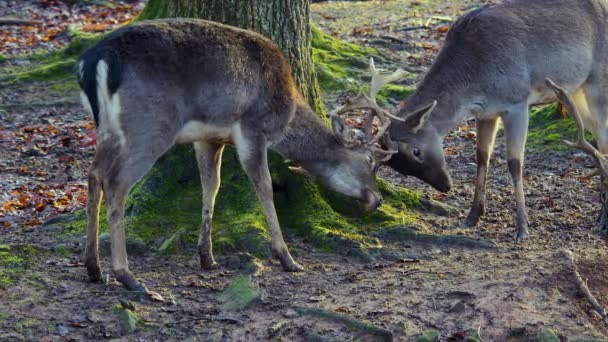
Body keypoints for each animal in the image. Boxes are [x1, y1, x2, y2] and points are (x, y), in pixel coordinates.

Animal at [376, 0, 608, 240]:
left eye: (416, 151)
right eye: (402, 169)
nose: (446, 186)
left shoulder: (517, 101)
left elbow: (515, 163)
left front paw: (522, 227)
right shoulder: (486, 113)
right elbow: (481, 156)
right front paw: (473, 215)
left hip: (599, 78)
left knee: (603, 141)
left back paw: (603, 219)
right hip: (575, 91)